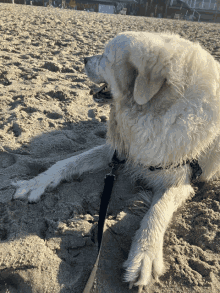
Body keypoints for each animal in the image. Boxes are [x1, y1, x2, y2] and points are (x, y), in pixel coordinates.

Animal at [12, 30, 220, 290]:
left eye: (105, 56)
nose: (83, 59)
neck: (152, 112)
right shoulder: (119, 151)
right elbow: (68, 161)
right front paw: (35, 183)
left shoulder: (181, 179)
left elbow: (157, 210)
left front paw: (144, 256)